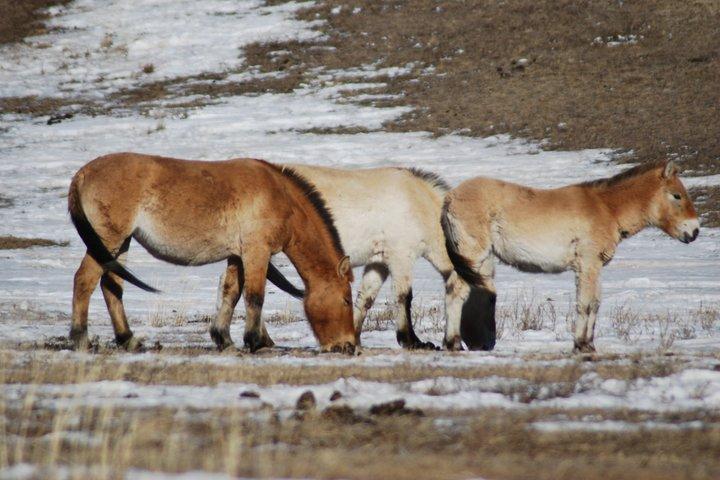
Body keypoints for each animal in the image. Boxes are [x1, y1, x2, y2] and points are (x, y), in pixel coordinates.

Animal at [67, 153, 356, 353]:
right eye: (346, 300)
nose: (349, 346)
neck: (279, 196)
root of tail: (82, 174)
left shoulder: (237, 256)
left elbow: (231, 293)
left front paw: (224, 339)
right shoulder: (256, 252)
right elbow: (255, 296)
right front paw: (255, 342)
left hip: (121, 243)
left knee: (111, 285)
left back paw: (128, 339)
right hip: (109, 239)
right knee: (84, 280)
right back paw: (81, 339)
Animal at [220, 164, 496, 351]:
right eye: (489, 299)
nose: (487, 344)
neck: (419, 204)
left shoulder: (379, 262)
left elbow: (366, 299)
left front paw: (354, 334)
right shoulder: (401, 256)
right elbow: (404, 297)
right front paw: (412, 341)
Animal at [441, 160, 699, 353]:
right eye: (676, 195)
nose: (695, 231)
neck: (606, 208)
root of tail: (451, 197)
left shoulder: (594, 267)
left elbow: (594, 303)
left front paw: (589, 345)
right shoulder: (588, 265)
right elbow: (586, 304)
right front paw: (581, 345)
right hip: (473, 257)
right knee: (456, 292)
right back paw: (453, 344)